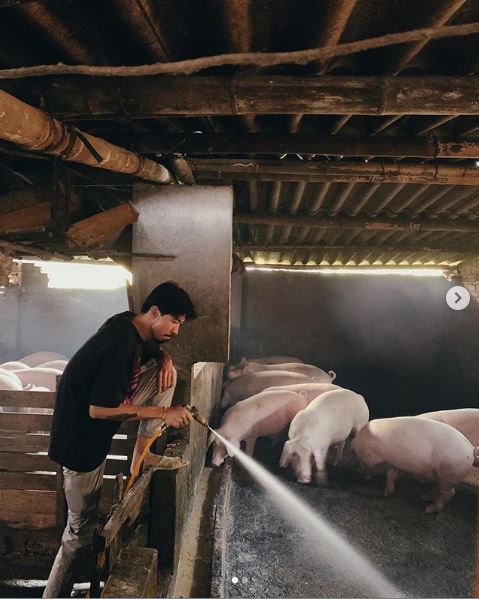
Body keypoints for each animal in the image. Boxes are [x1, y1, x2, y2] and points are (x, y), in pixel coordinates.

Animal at [350, 420, 478, 512]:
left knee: (449, 492)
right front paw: (387, 493)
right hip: (443, 475)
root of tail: (471, 449)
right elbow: (391, 474)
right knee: (438, 488)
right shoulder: (395, 461)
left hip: (450, 473)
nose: (358, 470)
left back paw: (428, 509)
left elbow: (386, 472)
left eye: (358, 455)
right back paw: (424, 497)